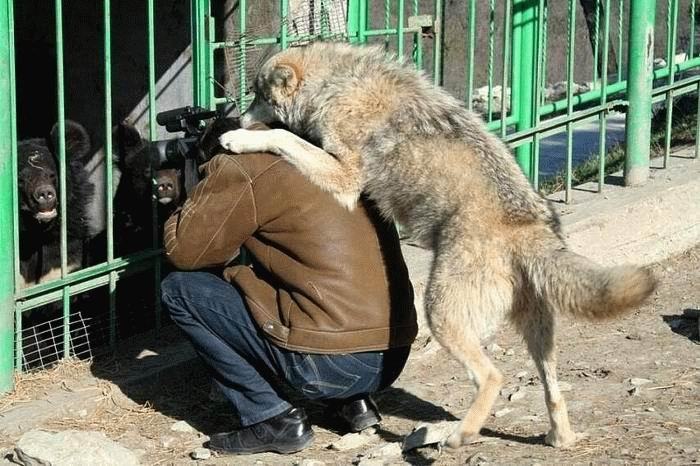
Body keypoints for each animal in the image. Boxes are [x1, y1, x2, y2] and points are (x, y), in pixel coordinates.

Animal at [217, 41, 656, 450]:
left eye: (257, 96)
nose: (238, 117)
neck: (337, 84)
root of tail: (527, 224)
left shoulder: (344, 178)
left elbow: (281, 136)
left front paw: (237, 138)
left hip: (440, 314)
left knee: (493, 376)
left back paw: (460, 434)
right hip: (537, 334)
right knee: (552, 388)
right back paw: (558, 438)